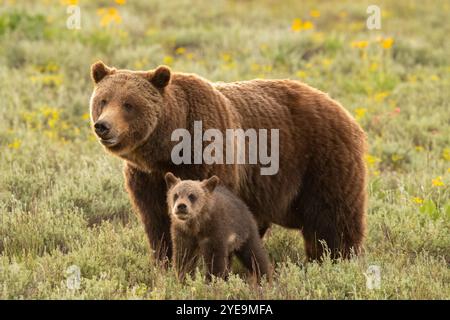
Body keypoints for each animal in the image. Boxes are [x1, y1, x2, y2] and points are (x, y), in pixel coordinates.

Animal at [89, 60, 368, 262]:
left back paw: (334, 260)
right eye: (103, 100)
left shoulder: (207, 156)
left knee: (333, 219)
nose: (103, 126)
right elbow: (157, 222)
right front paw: (165, 262)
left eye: (128, 104)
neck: (166, 149)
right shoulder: (146, 178)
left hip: (320, 160)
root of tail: (341, 107)